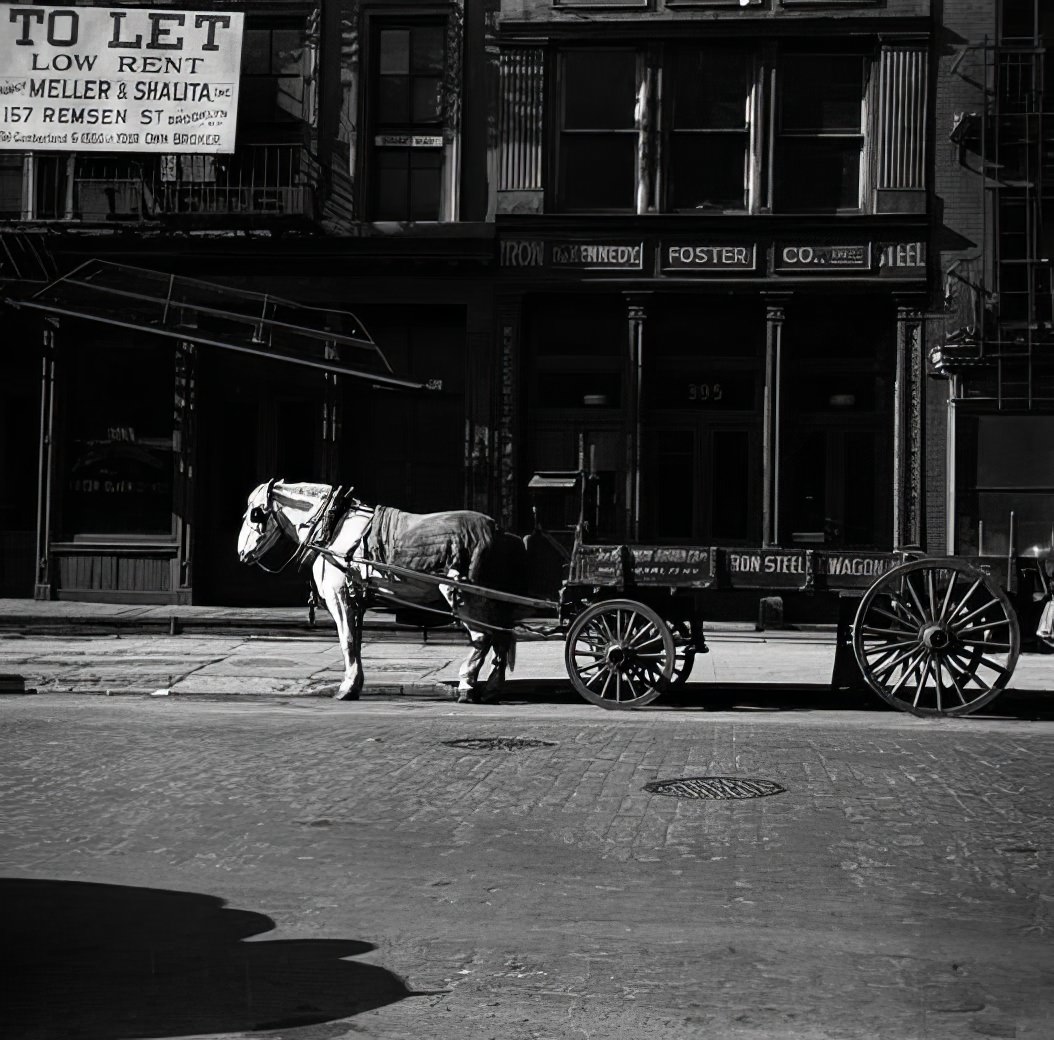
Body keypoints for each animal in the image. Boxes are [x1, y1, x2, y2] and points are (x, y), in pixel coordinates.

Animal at [235, 484, 522, 703]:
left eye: (254, 514)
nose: (241, 553)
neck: (334, 529)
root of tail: (500, 531)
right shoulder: (355, 600)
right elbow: (356, 642)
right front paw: (356, 683)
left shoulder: (339, 597)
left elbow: (347, 641)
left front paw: (346, 688)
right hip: (489, 601)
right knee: (501, 637)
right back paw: (492, 688)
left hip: (463, 595)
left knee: (483, 637)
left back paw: (467, 687)